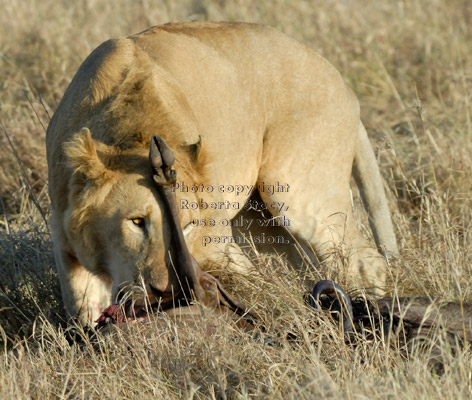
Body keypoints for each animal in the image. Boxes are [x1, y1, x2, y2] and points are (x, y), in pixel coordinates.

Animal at [46, 21, 398, 326]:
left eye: (187, 227)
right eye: (136, 222)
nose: (166, 291)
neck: (132, 132)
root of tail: (339, 78)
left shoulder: (216, 242)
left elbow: (250, 284)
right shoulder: (65, 243)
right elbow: (82, 309)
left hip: (294, 192)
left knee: (364, 257)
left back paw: (367, 307)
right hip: (259, 218)